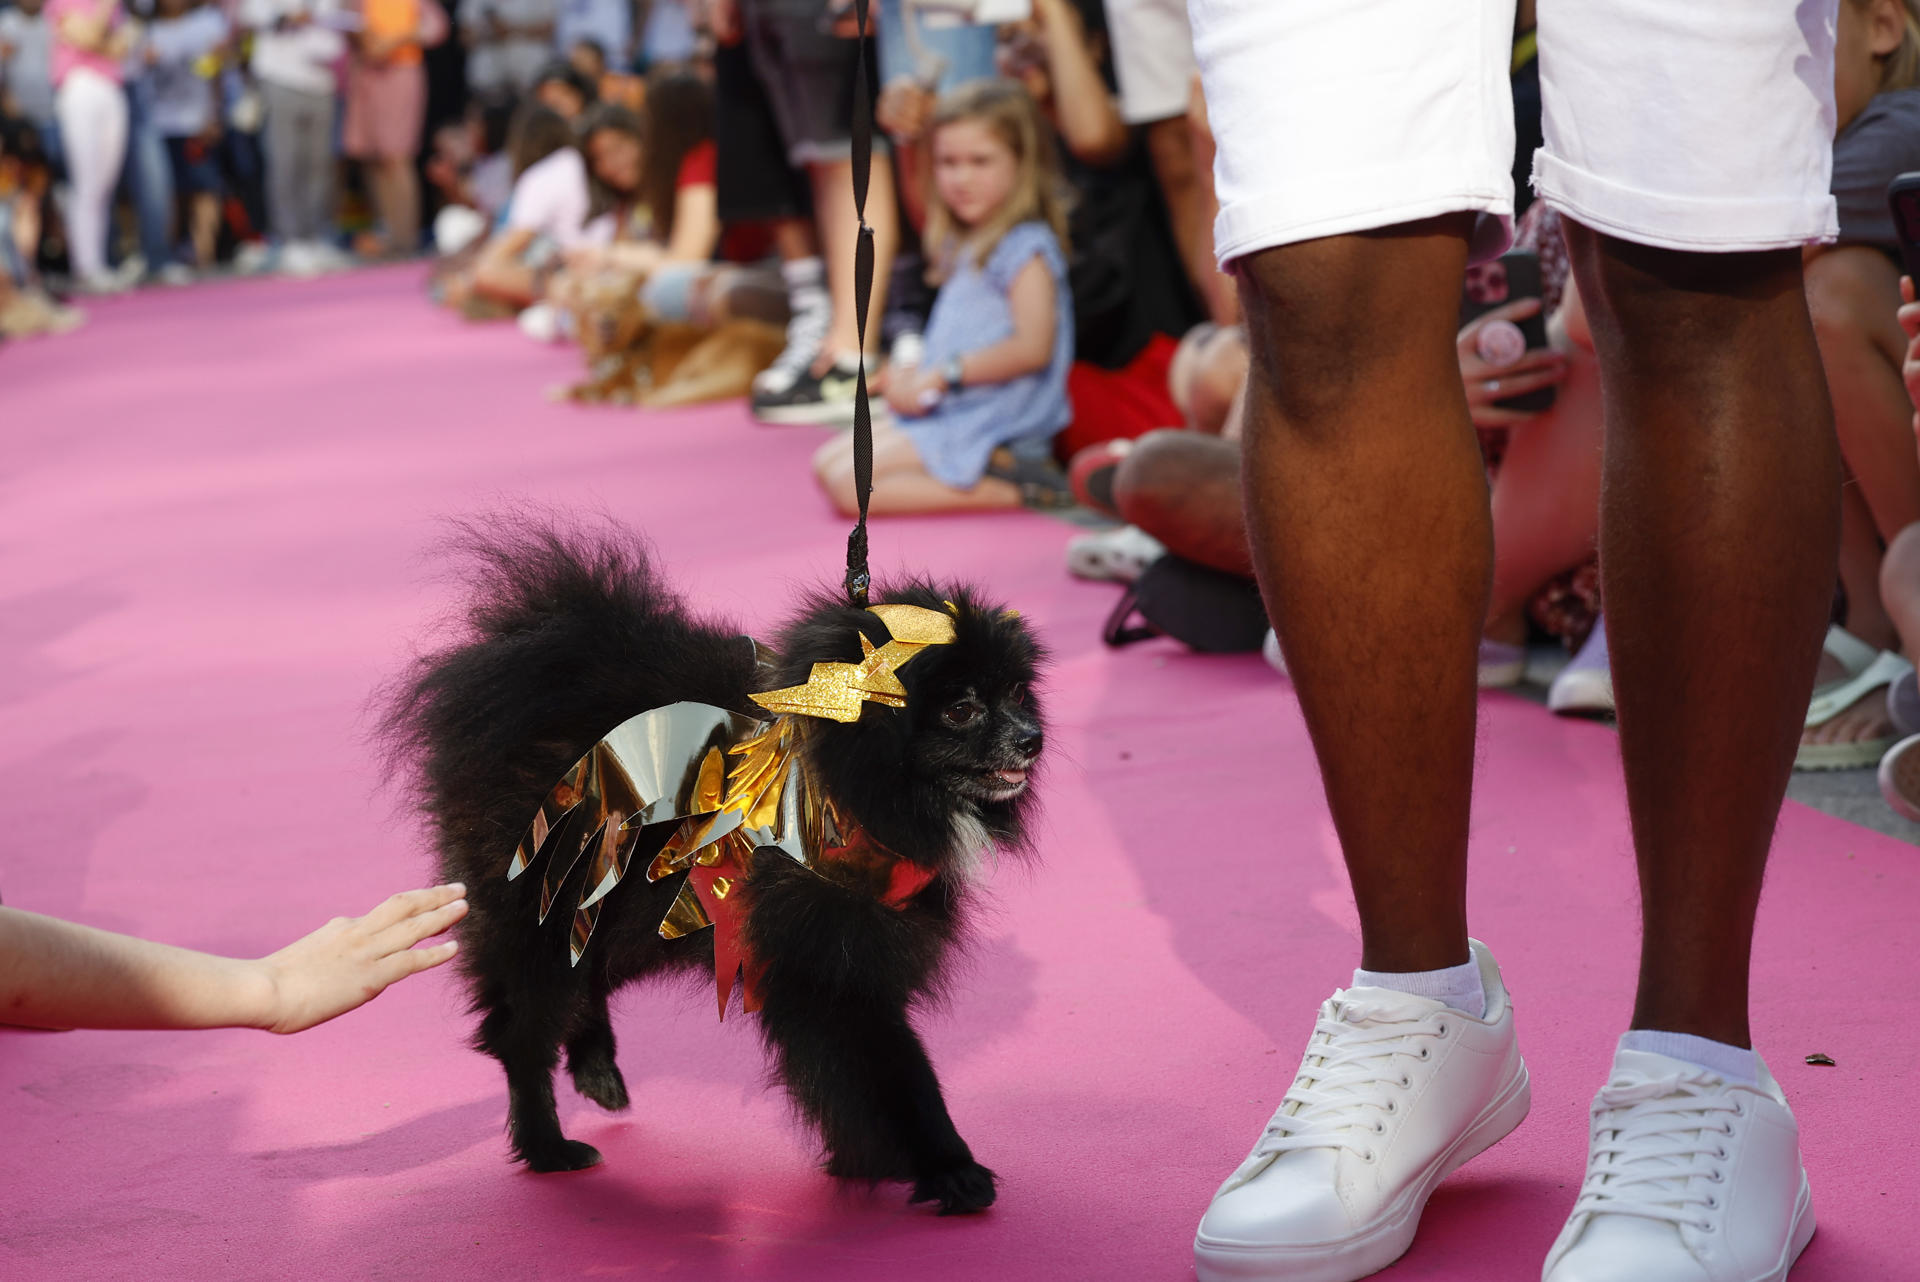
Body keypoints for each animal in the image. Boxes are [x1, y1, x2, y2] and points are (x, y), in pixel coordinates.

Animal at [380, 518, 1044, 1212]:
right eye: (962, 709)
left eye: (1018, 693)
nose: (1032, 736)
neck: (855, 791)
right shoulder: (827, 968)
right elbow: (894, 1071)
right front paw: (949, 1167)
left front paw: (866, 1161)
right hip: (546, 901)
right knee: (524, 1027)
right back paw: (547, 1146)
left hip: (628, 909)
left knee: (586, 980)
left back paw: (596, 1068)